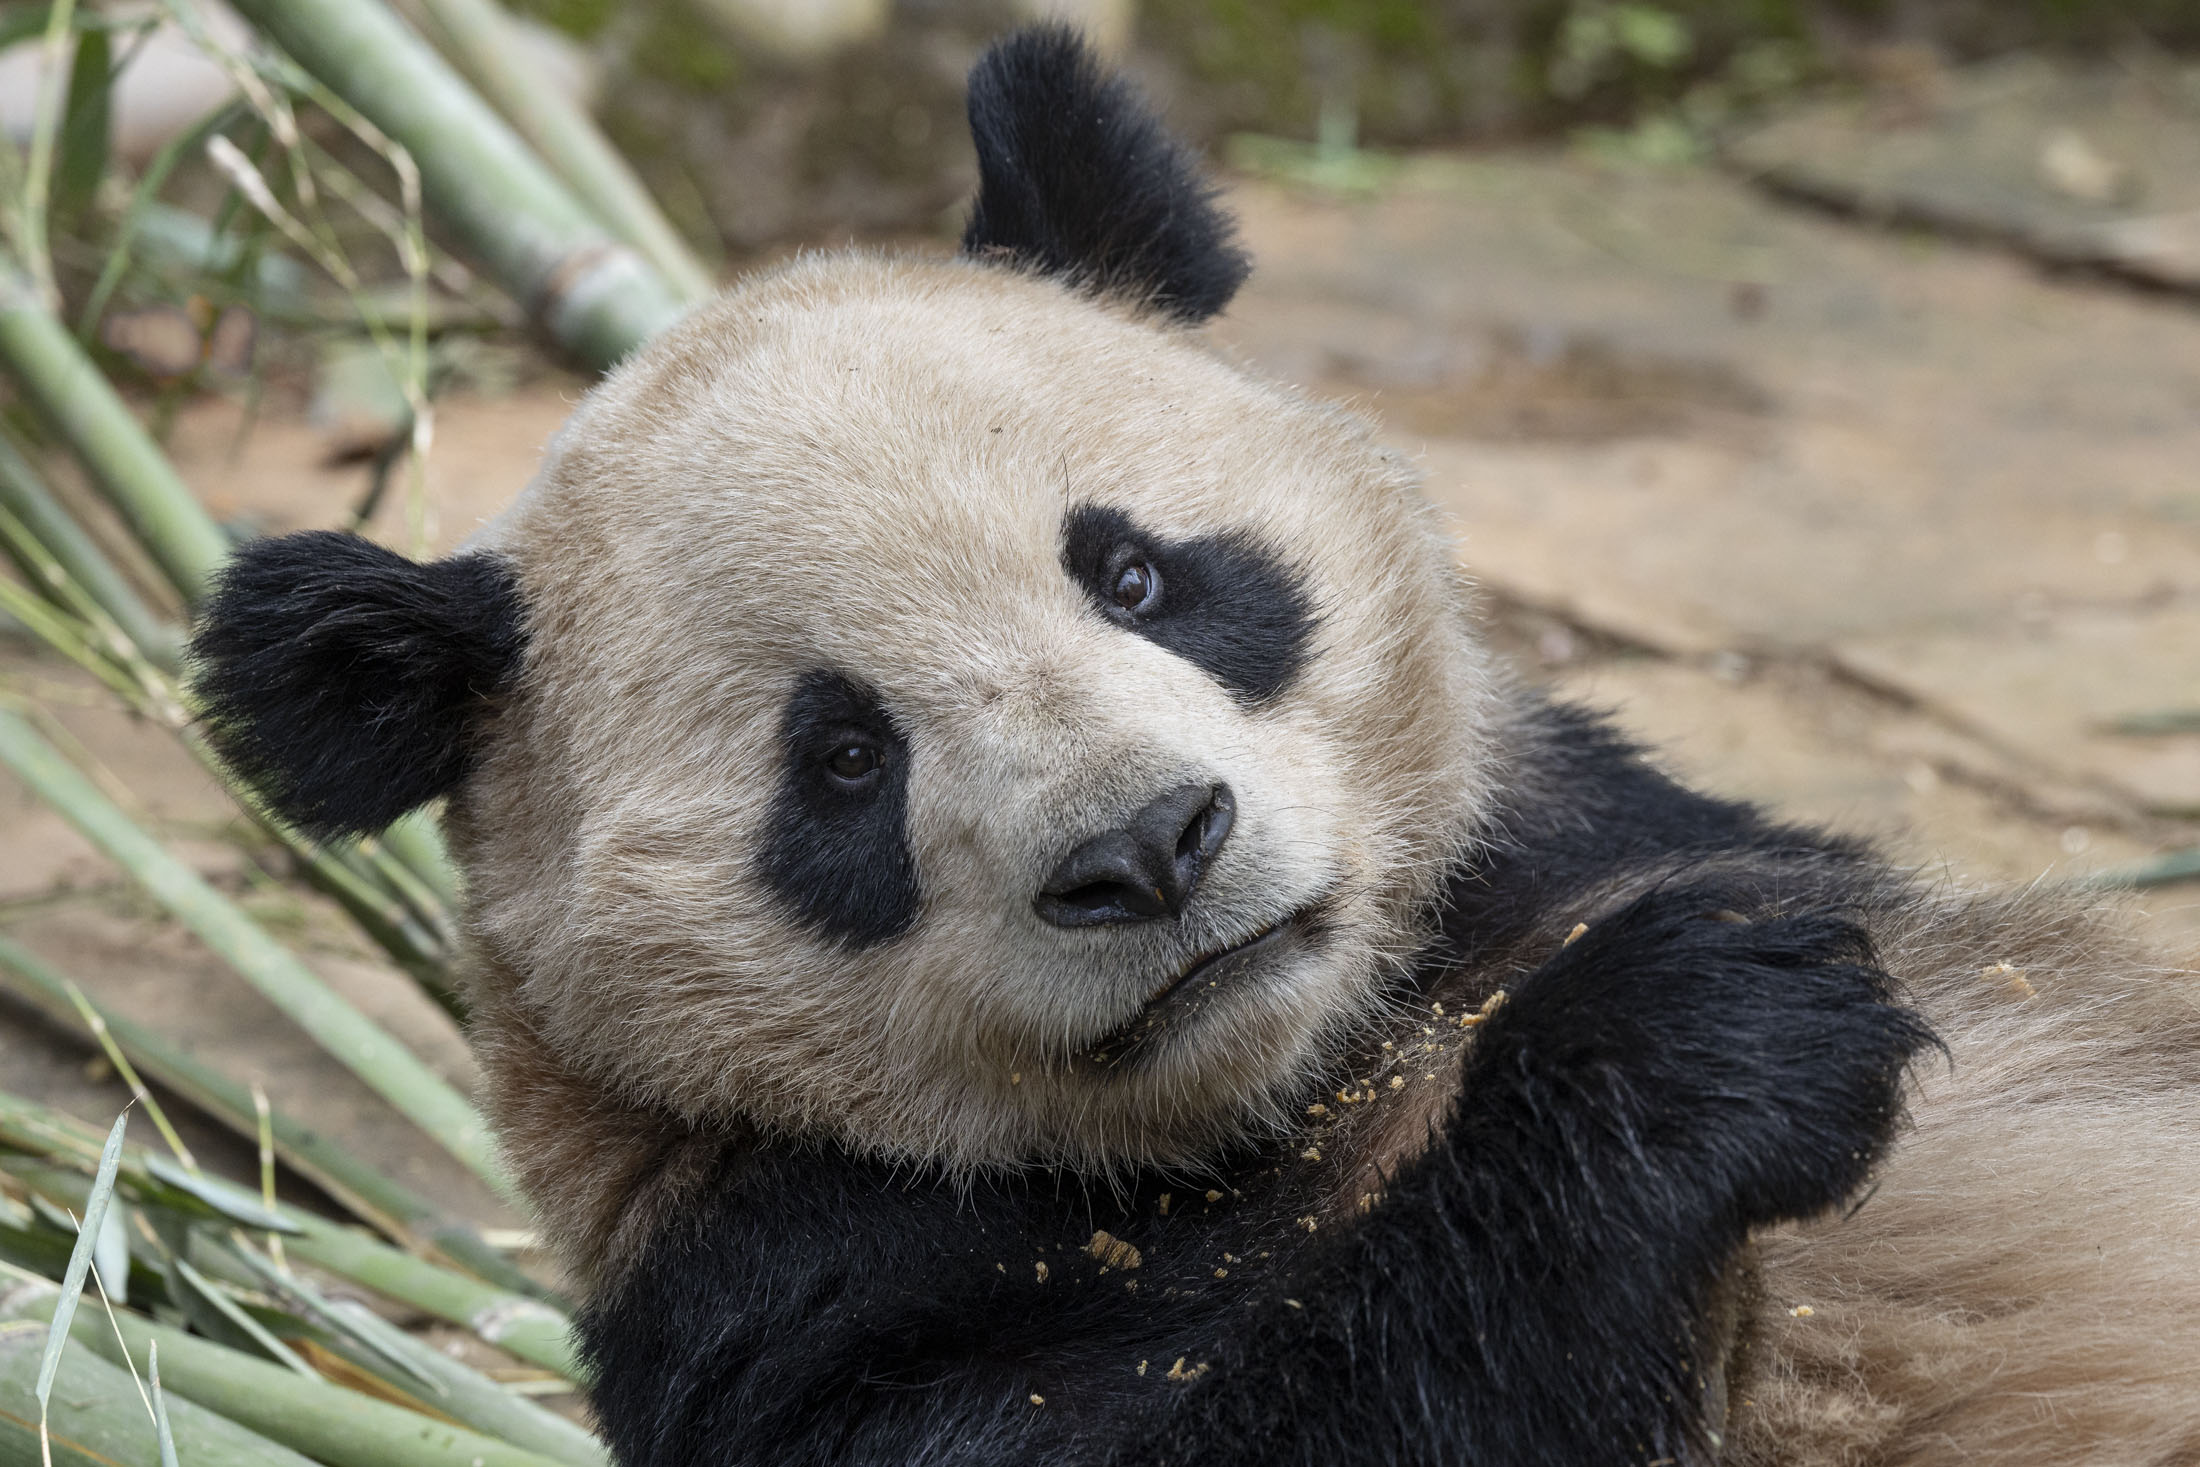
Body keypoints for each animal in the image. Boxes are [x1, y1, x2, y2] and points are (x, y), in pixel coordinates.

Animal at [188, 26, 2200, 1467]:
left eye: (1137, 571)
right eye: (841, 761)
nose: (1150, 847)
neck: (1290, 1086)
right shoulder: (788, 1291)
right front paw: (1693, 1036)